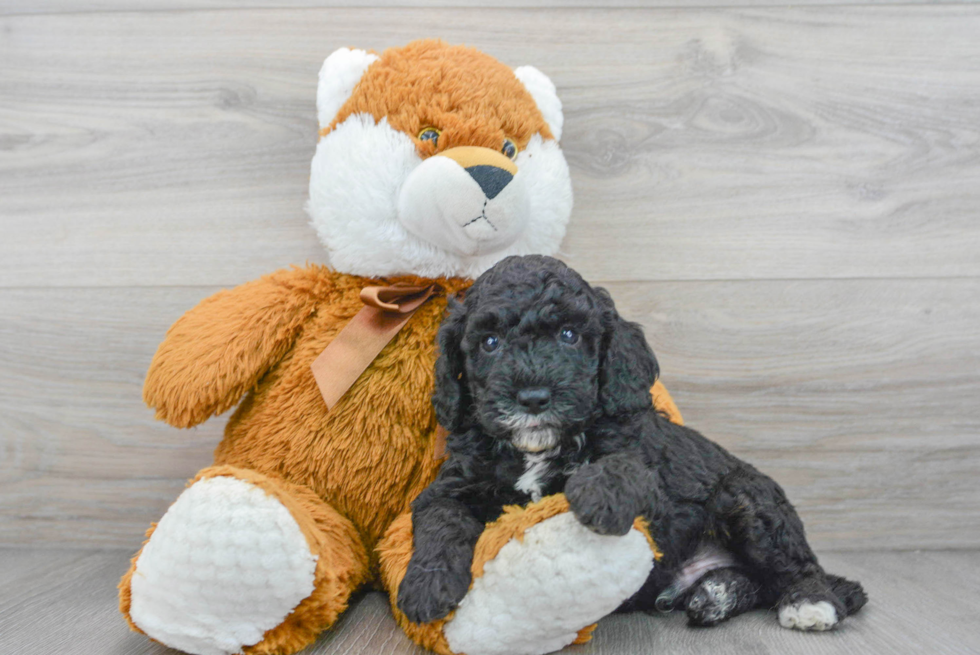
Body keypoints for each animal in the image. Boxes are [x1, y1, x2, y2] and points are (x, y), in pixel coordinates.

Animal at [398, 255, 864, 632]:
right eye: (489, 343)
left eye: (569, 334)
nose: (532, 398)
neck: (536, 448)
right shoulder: (451, 485)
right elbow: (442, 518)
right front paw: (425, 585)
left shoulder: (652, 481)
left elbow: (624, 466)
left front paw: (597, 494)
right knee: (761, 584)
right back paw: (716, 594)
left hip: (747, 498)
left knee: (796, 567)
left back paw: (809, 602)